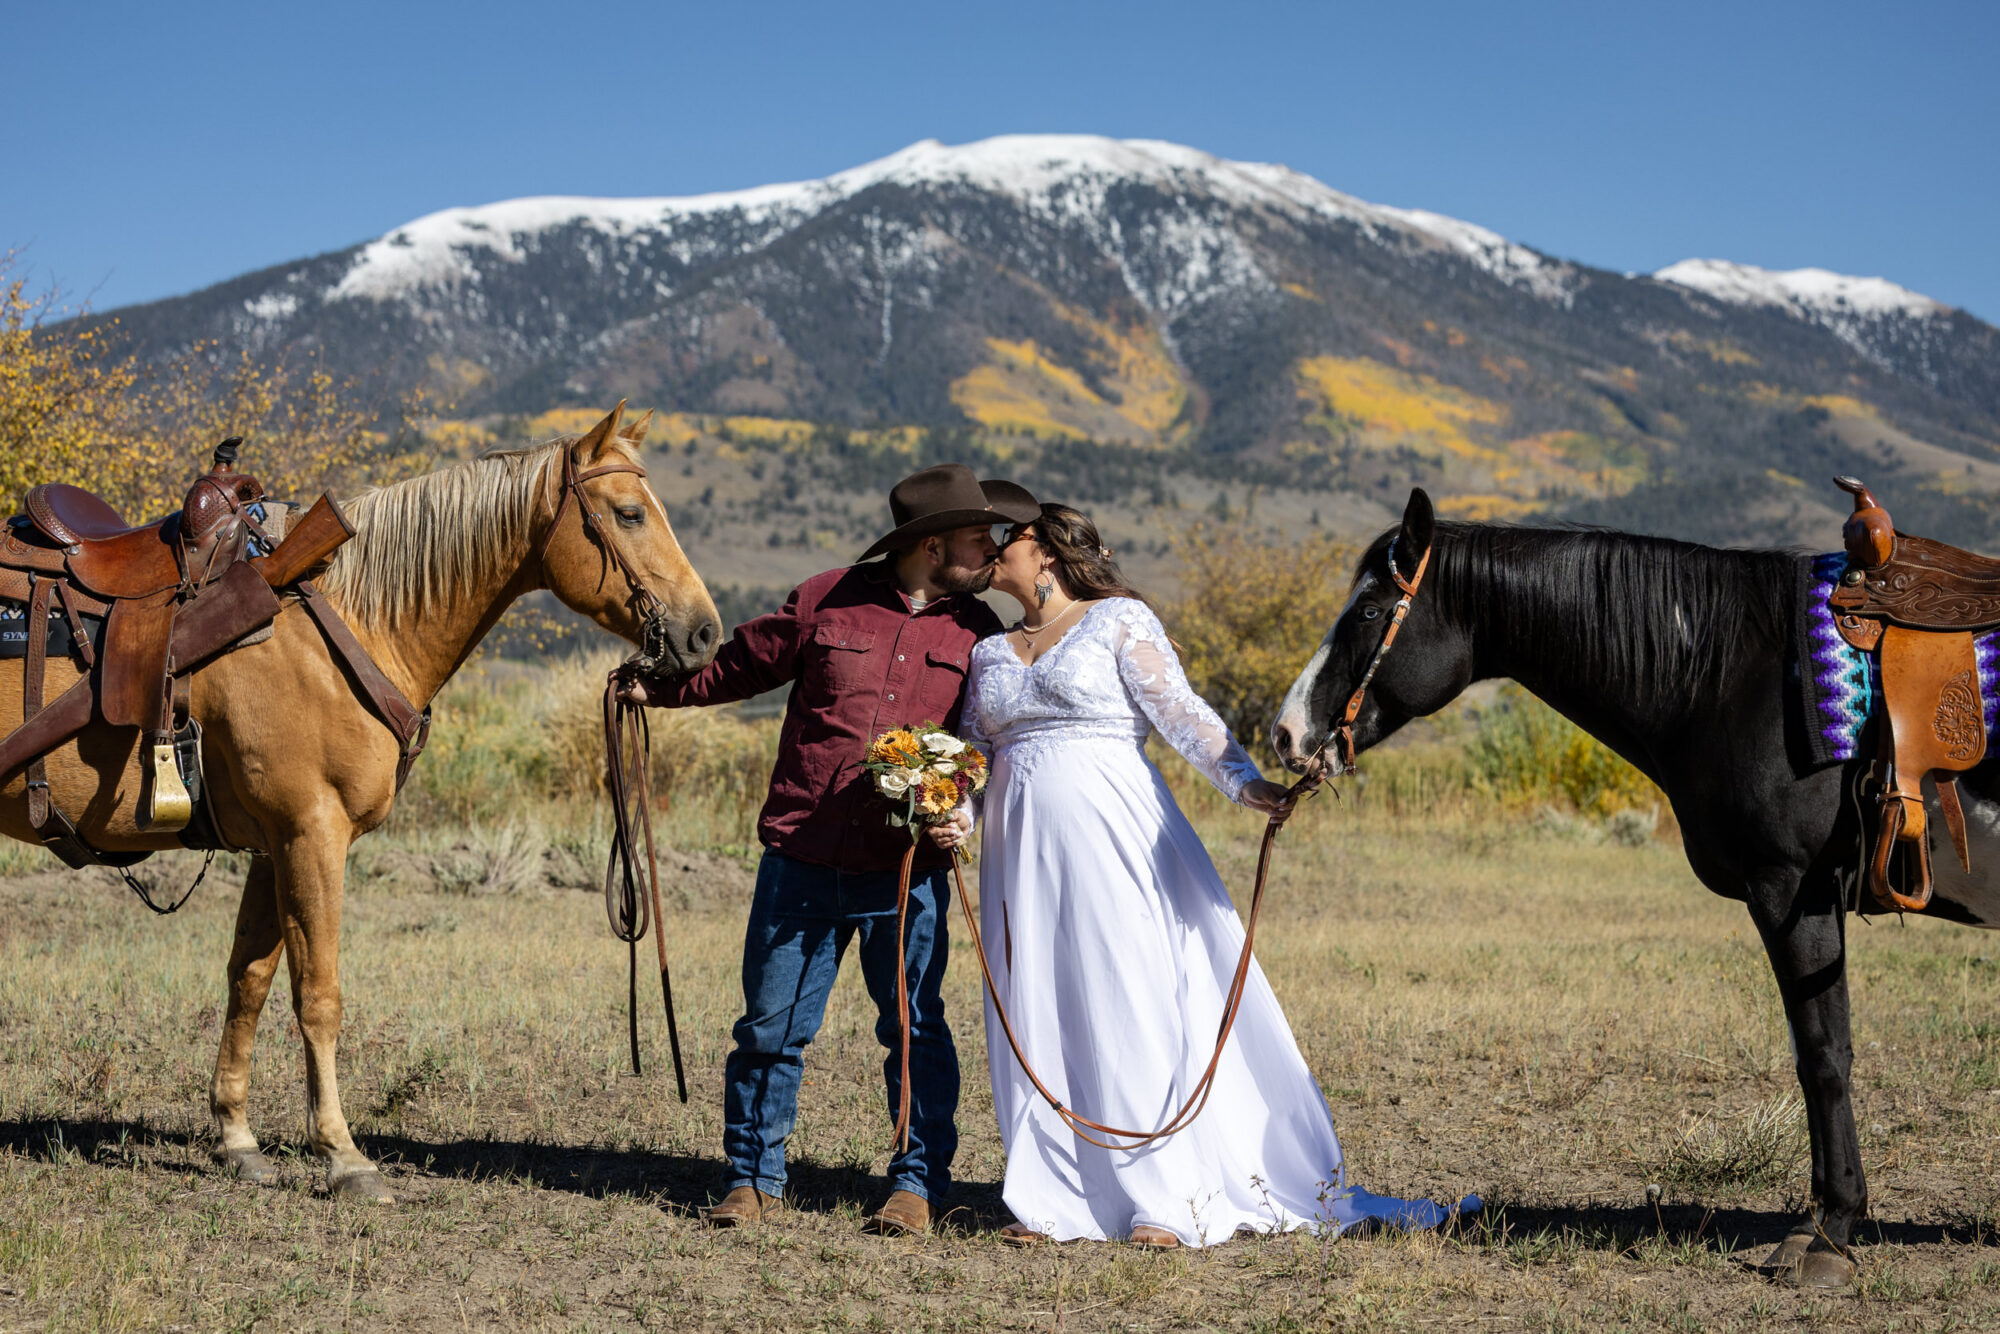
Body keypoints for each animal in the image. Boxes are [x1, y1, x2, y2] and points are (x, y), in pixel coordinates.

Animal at [0, 403, 721, 1202]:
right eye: (628, 513)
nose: (704, 632)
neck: (345, 624)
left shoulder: (273, 847)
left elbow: (249, 981)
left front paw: (236, 1138)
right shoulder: (312, 834)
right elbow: (319, 995)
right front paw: (342, 1154)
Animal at [1269, 488, 2000, 1288]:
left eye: (1370, 610)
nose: (1285, 733)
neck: (1738, 672)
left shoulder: (1794, 892)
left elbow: (1824, 1057)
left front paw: (1827, 1230)